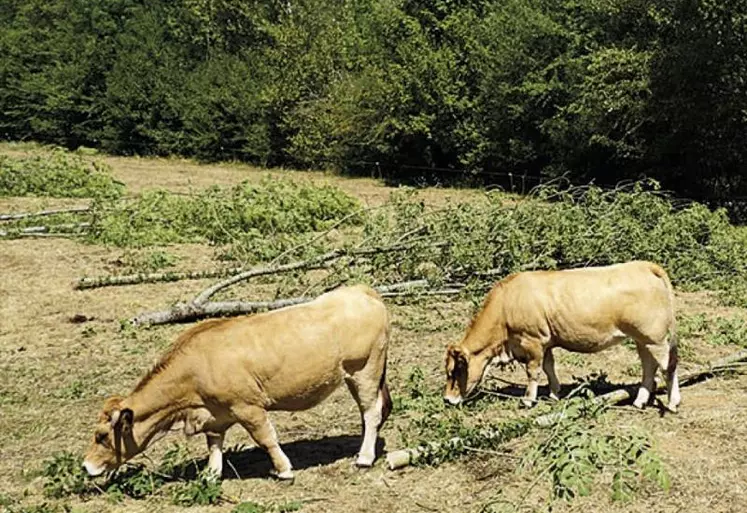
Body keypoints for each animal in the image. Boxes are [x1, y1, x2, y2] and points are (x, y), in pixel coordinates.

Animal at [83, 284, 392, 480]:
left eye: (102, 436)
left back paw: (364, 457)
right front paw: (210, 474)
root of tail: (362, 291)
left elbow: (266, 438)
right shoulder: (215, 413)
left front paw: (283, 469)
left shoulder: (248, 407)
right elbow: (214, 443)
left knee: (371, 411)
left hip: (365, 370)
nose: (86, 466)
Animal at [444, 260, 684, 412]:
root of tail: (644, 265)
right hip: (641, 339)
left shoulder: (532, 341)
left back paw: (672, 403)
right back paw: (640, 401)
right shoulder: (546, 343)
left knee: (668, 366)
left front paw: (528, 400)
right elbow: (549, 368)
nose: (447, 399)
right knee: (648, 366)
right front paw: (555, 393)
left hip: (655, 338)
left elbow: (533, 372)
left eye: (455, 371)